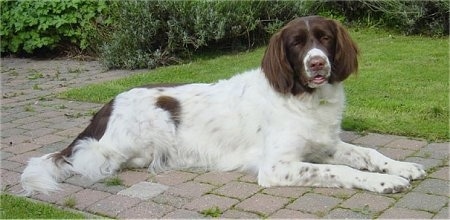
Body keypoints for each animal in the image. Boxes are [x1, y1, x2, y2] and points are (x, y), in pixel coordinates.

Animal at [20, 16, 426, 194]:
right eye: (296, 44)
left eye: (325, 38)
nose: (317, 64)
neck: (304, 98)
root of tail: (106, 106)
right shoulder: (277, 167)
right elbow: (339, 171)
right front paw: (384, 182)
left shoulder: (323, 145)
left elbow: (367, 153)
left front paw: (401, 167)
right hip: (136, 138)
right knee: (88, 161)